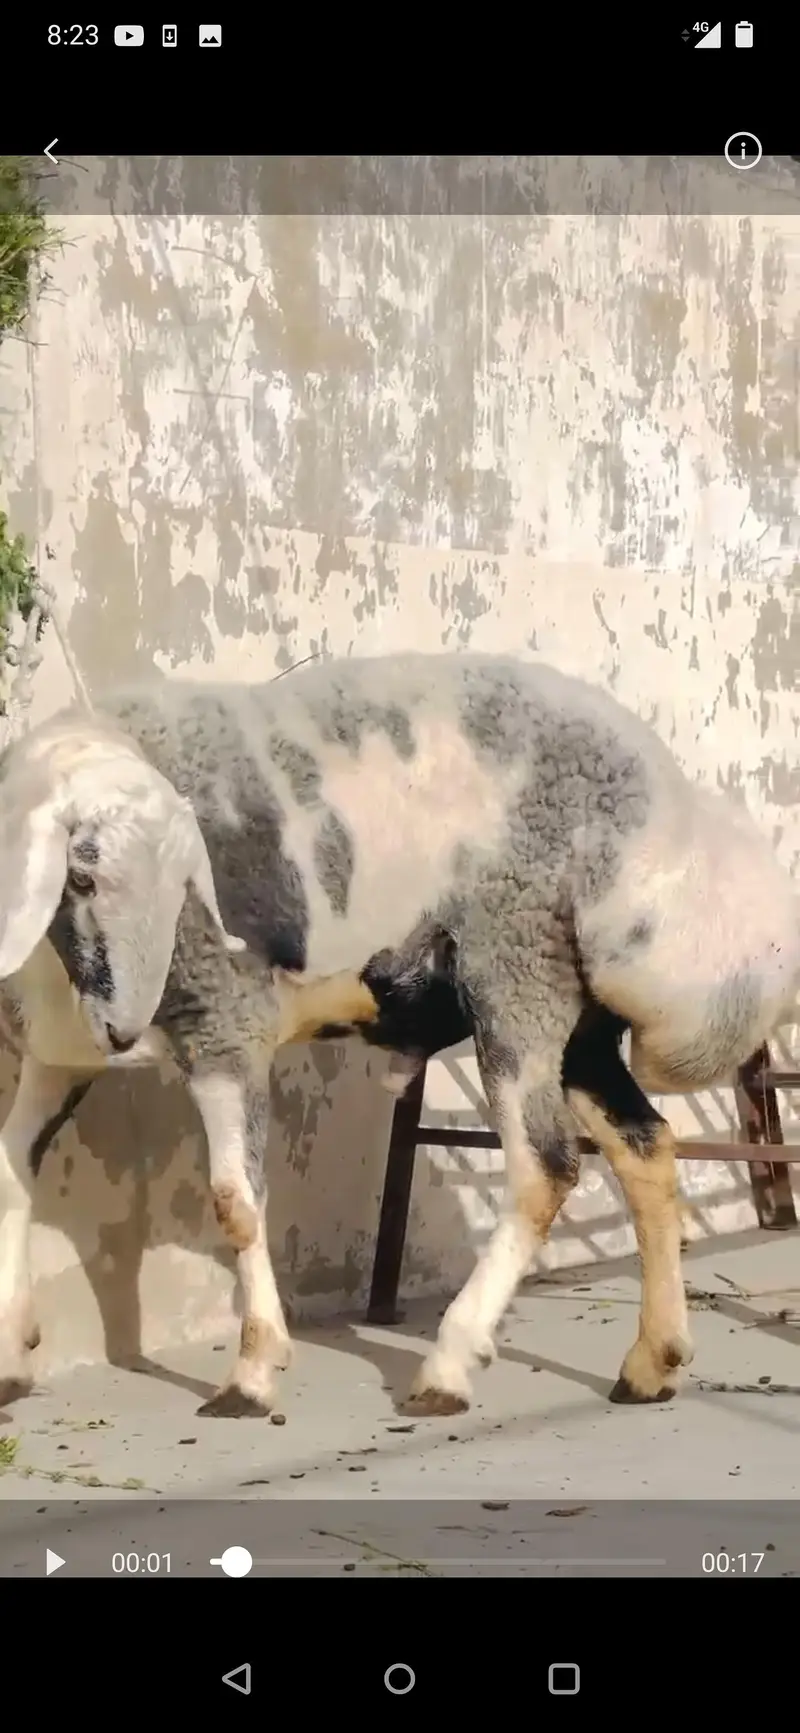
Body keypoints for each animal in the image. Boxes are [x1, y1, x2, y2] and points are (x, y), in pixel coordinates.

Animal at [0, 651, 797, 1422]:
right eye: (82, 876)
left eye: (180, 878)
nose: (126, 1029)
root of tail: (662, 808)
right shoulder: (59, 1051)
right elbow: (11, 1170)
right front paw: (11, 1360)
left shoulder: (225, 1025)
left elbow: (236, 1201)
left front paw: (254, 1374)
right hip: (579, 1025)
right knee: (646, 1147)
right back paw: (652, 1362)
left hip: (515, 968)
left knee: (545, 1165)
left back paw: (449, 1365)